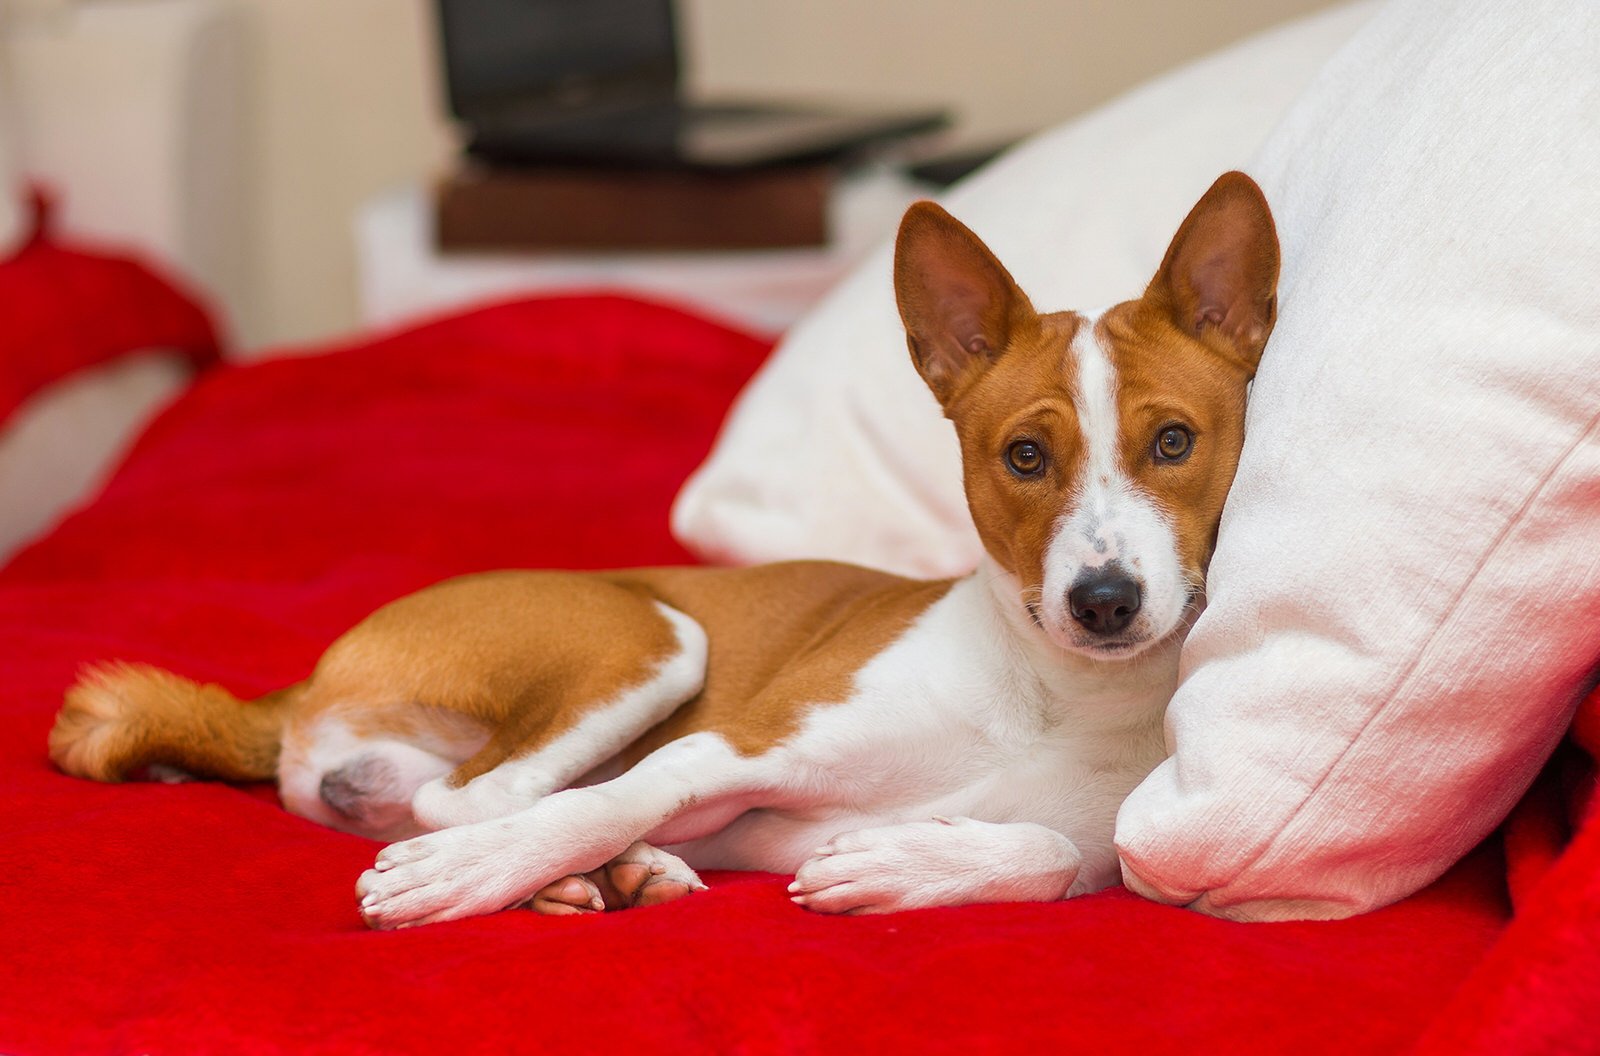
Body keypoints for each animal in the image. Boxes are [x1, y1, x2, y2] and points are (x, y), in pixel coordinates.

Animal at [46, 168, 1273, 928]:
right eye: (1024, 456)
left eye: (1172, 442)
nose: (1104, 600)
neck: (1046, 695)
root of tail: (297, 689)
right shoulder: (728, 748)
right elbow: (600, 801)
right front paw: (485, 874)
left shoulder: (1110, 845)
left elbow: (1047, 852)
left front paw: (906, 860)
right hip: (651, 636)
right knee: (489, 797)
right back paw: (562, 865)